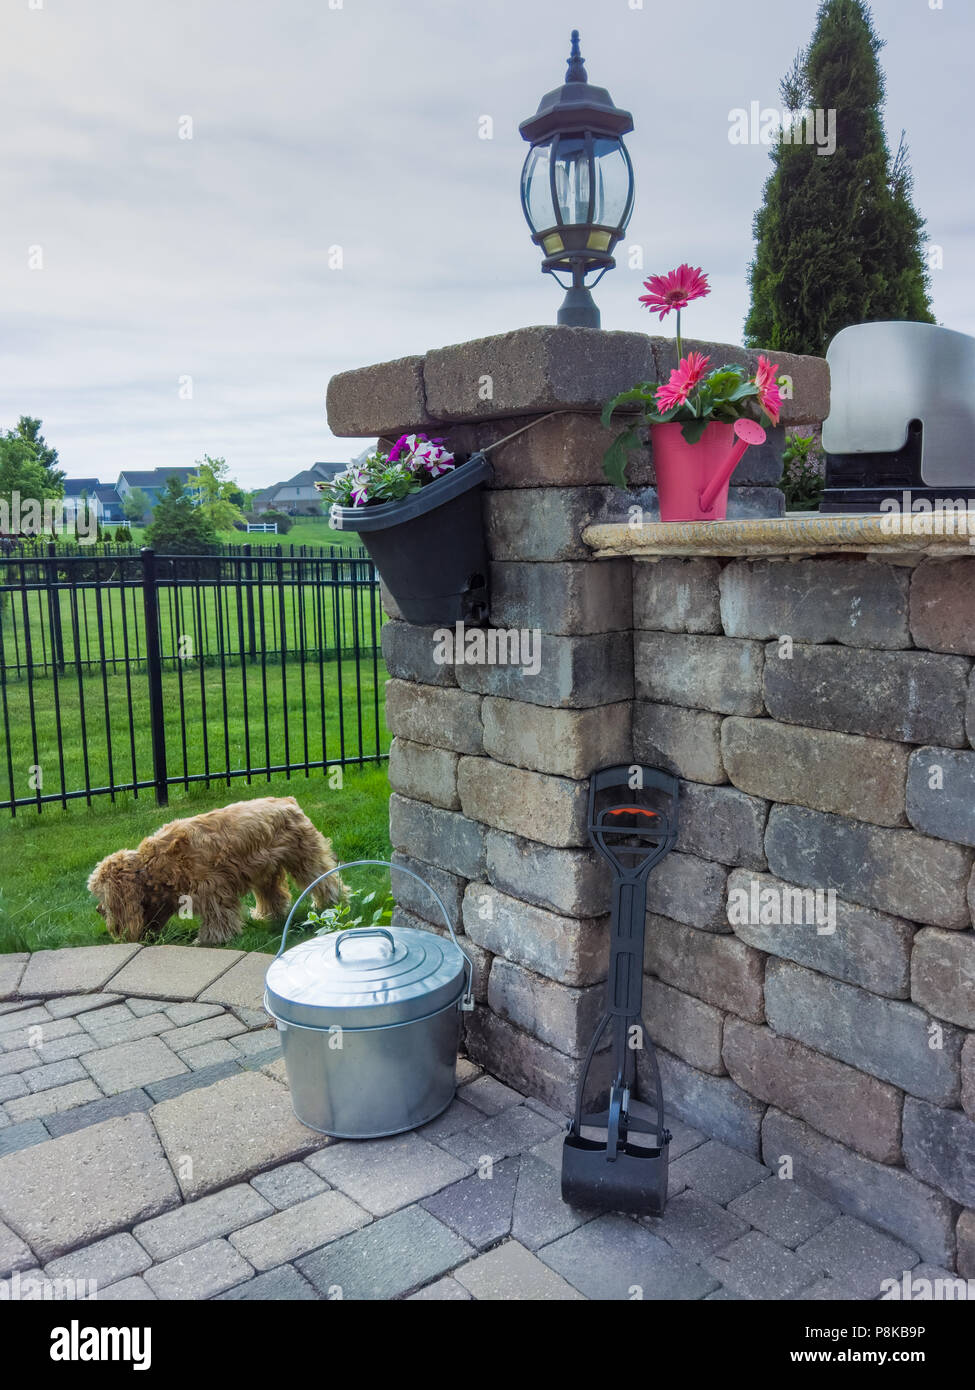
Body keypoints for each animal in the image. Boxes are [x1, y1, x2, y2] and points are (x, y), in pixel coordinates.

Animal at [87, 795, 343, 945]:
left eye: (101, 895)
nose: (98, 910)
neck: (154, 866)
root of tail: (287, 801)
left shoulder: (211, 889)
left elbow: (217, 917)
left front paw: (210, 940)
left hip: (304, 858)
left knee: (324, 879)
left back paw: (330, 903)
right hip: (265, 871)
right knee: (274, 895)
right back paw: (267, 915)